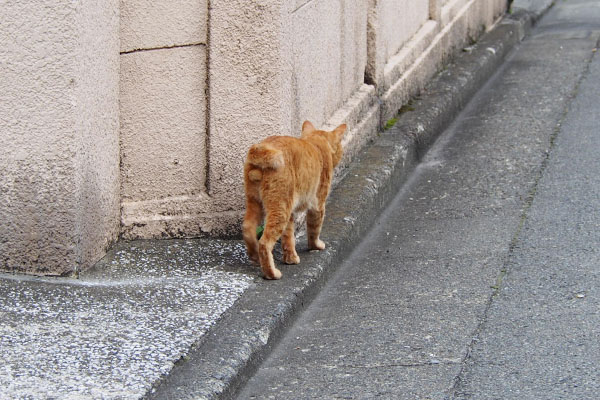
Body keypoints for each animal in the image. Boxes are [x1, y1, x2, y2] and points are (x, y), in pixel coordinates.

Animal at [243, 120, 346, 280]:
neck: (316, 142)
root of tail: (261, 149)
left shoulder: (290, 211)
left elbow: (288, 236)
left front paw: (290, 258)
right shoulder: (318, 204)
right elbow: (314, 229)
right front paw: (316, 246)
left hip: (256, 202)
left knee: (247, 228)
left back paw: (254, 255)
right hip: (279, 210)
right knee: (264, 243)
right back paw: (271, 273)